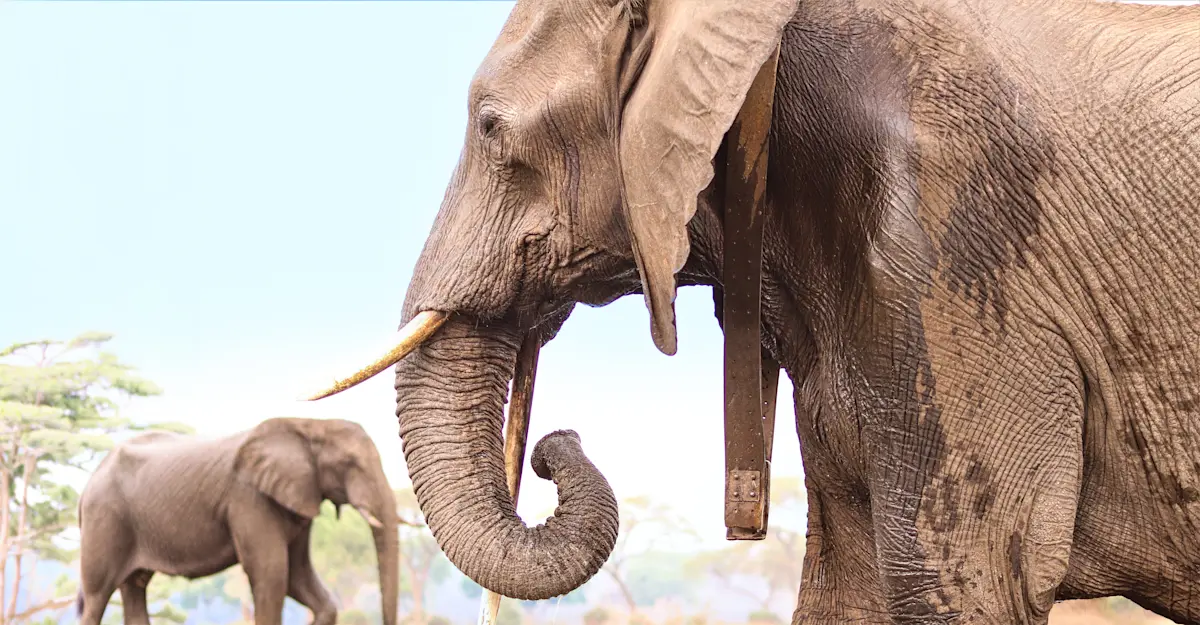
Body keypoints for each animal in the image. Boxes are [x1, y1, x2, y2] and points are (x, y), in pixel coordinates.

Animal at [76, 417, 398, 625]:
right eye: (350, 464)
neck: (309, 424)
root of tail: (89, 482)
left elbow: (297, 576)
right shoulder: (248, 499)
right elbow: (272, 572)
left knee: (134, 587)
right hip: (104, 518)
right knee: (96, 597)